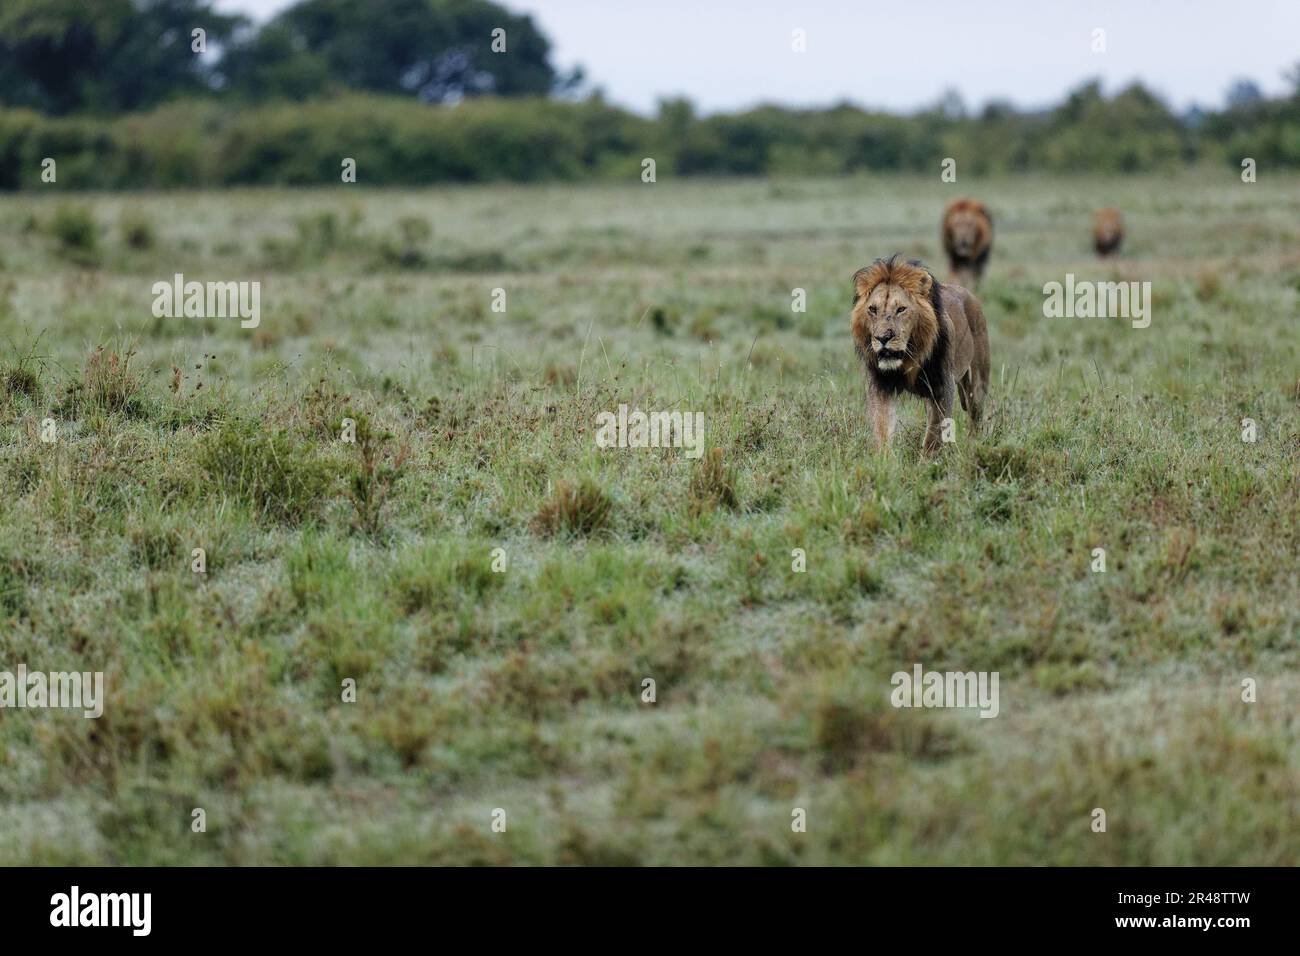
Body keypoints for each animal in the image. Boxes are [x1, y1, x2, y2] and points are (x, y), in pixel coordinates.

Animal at [850, 255, 990, 454]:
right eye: (872, 309)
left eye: (901, 309)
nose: (883, 338)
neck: (910, 356)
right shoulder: (880, 385)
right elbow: (882, 426)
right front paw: (883, 458)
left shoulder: (941, 386)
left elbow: (934, 433)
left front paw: (927, 460)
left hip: (977, 384)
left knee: (975, 418)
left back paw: (973, 447)